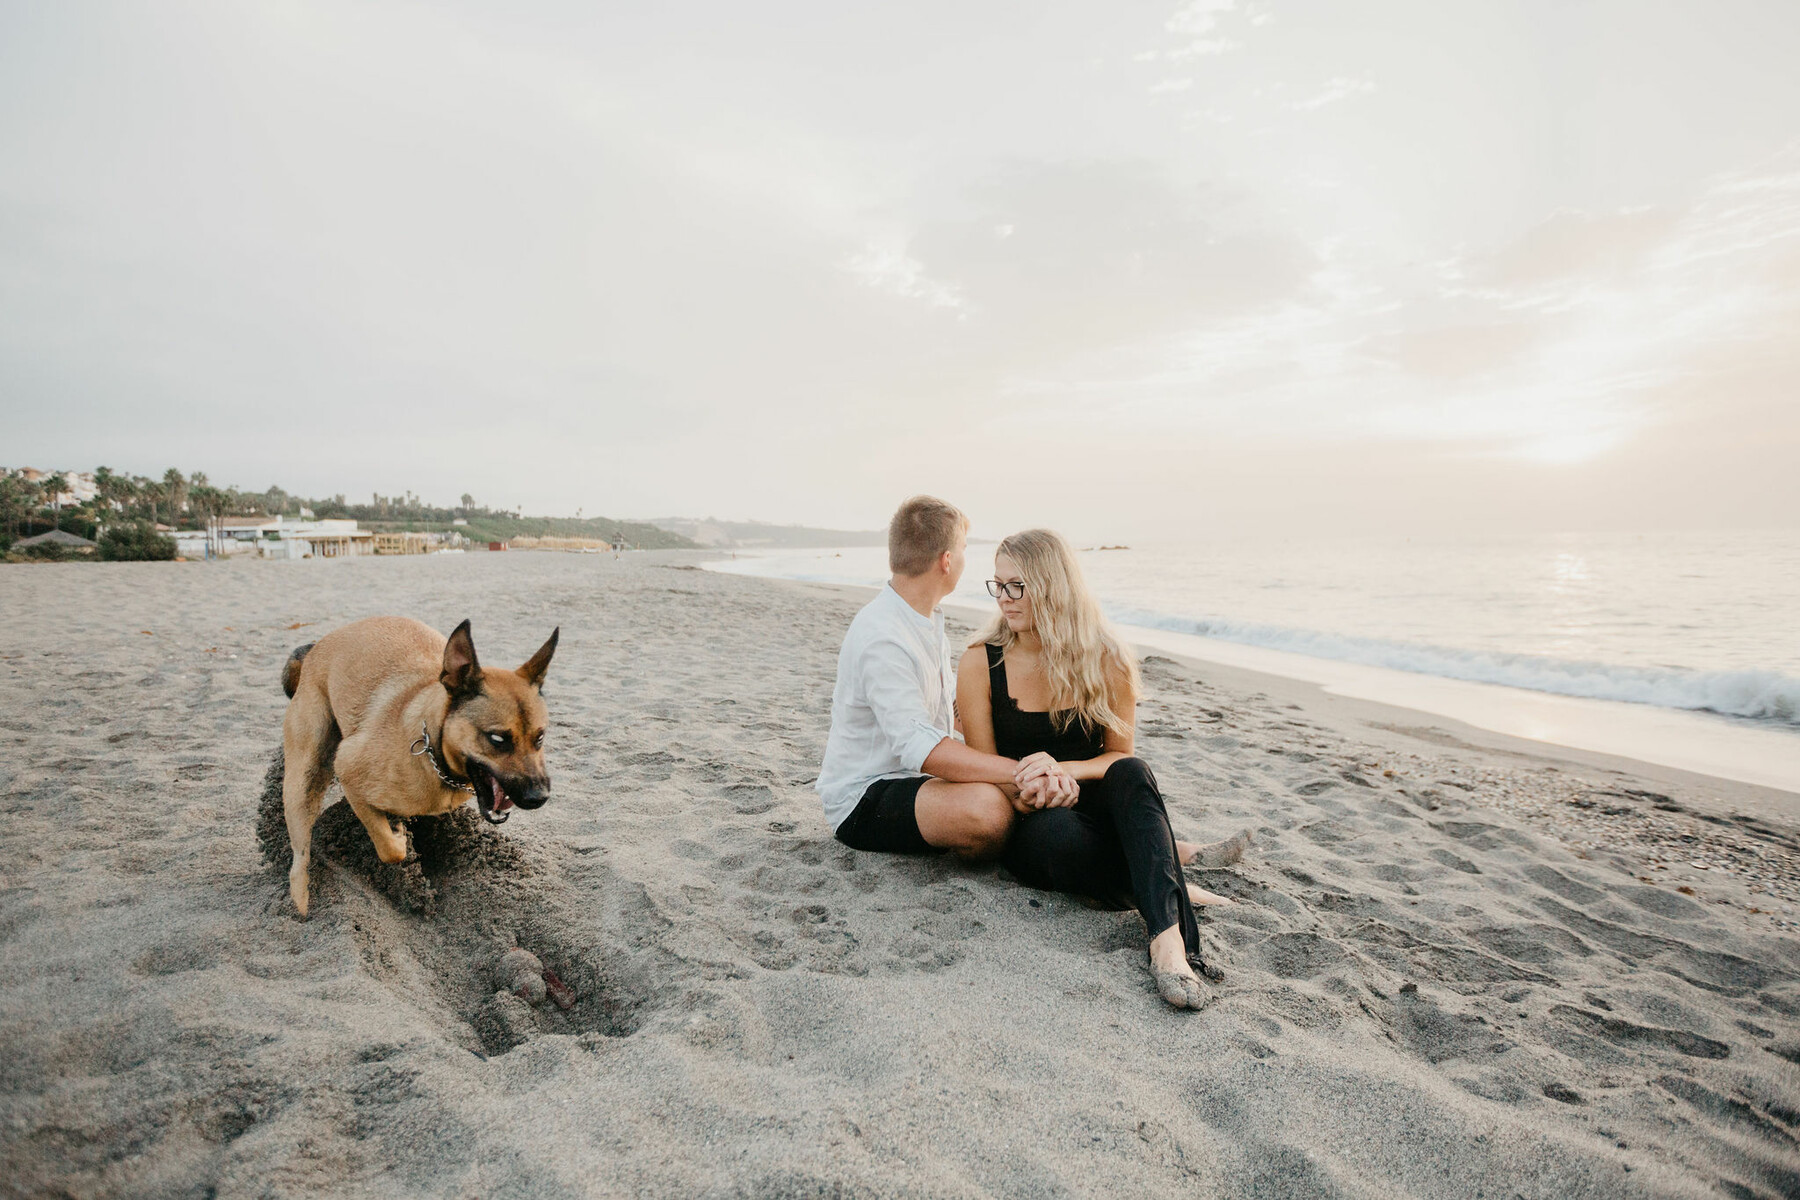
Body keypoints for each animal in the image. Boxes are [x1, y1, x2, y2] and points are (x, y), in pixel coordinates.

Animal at [279, 618, 554, 921]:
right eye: (497, 739)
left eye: (540, 737)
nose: (539, 797)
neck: (434, 750)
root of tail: (316, 648)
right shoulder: (348, 769)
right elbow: (388, 848)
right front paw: (399, 839)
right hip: (303, 777)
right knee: (299, 852)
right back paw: (301, 900)